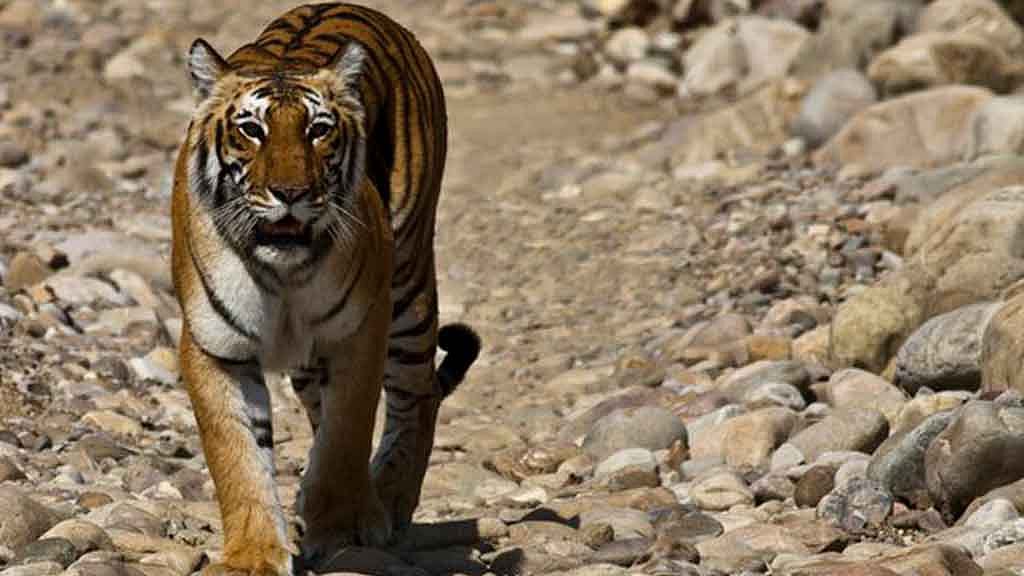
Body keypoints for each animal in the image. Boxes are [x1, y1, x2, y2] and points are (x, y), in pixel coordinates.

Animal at [170, 3, 480, 574]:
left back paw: (387, 502)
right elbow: (236, 453)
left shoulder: (358, 331)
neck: (283, 273)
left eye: (318, 130)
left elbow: (344, 435)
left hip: (408, 289)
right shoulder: (214, 346)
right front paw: (253, 554)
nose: (290, 192)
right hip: (312, 361)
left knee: (419, 395)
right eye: (251, 129)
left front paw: (340, 528)